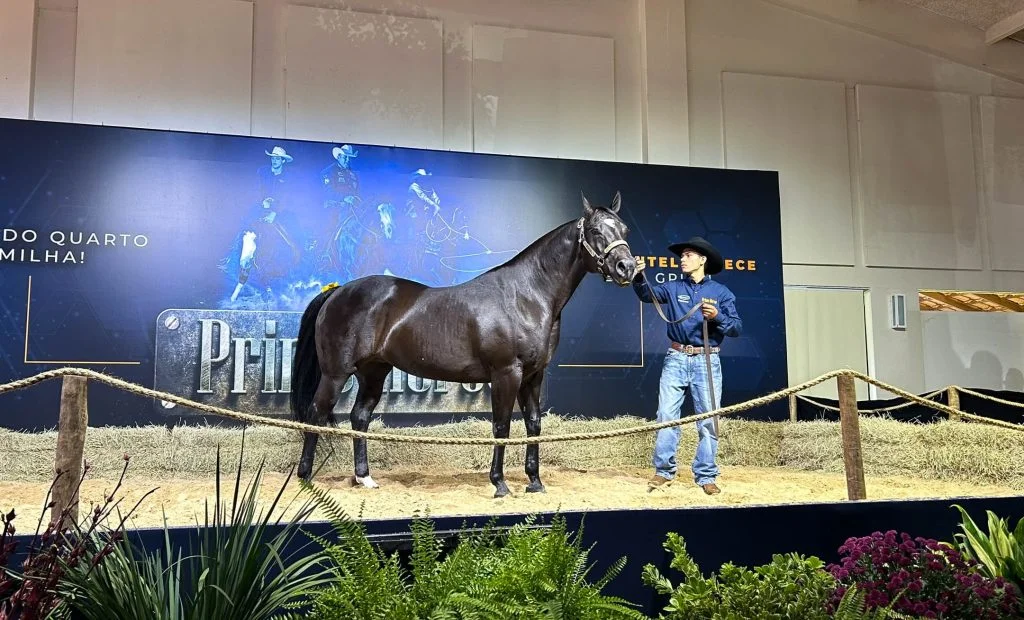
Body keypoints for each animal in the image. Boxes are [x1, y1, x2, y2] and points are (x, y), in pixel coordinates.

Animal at [289, 191, 637, 497]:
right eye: (595, 231)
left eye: (624, 230)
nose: (627, 268)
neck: (527, 296)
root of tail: (336, 291)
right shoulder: (506, 373)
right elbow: (501, 426)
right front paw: (499, 484)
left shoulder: (533, 375)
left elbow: (534, 424)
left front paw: (535, 482)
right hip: (336, 373)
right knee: (316, 414)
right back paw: (305, 478)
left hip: (373, 372)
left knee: (359, 417)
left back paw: (365, 479)